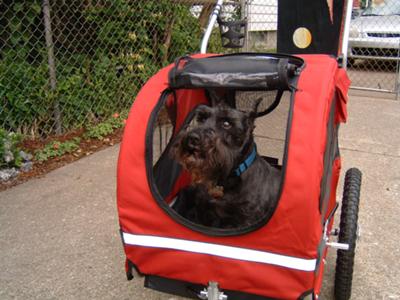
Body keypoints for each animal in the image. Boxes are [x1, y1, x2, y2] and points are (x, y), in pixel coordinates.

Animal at [171, 92, 282, 229]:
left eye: (226, 123)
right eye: (201, 118)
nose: (192, 138)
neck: (227, 178)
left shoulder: (243, 221)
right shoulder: (203, 211)